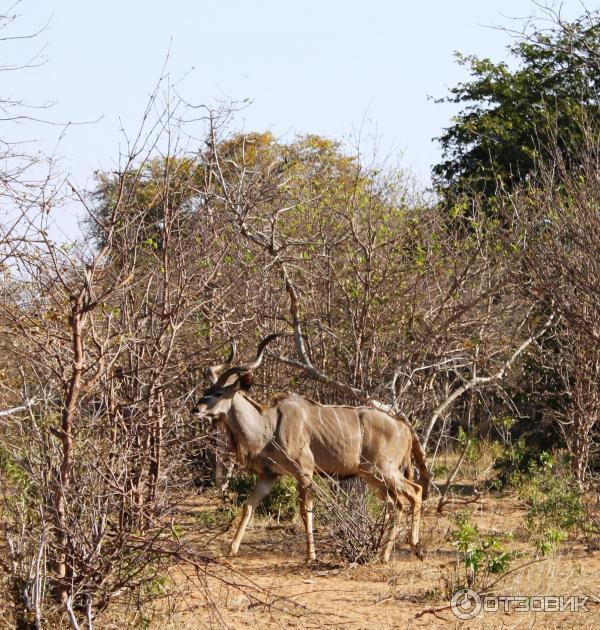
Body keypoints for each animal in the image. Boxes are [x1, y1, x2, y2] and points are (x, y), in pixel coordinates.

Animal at [190, 336, 428, 564]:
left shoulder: (304, 472)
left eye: (218, 393)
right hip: (373, 477)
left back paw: (416, 548)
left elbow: (306, 511)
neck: (270, 425)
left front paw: (310, 555)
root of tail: (404, 427)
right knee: (396, 504)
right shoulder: (269, 475)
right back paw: (384, 555)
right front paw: (231, 550)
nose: (195, 410)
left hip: (384, 471)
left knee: (415, 492)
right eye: (207, 390)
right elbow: (248, 506)